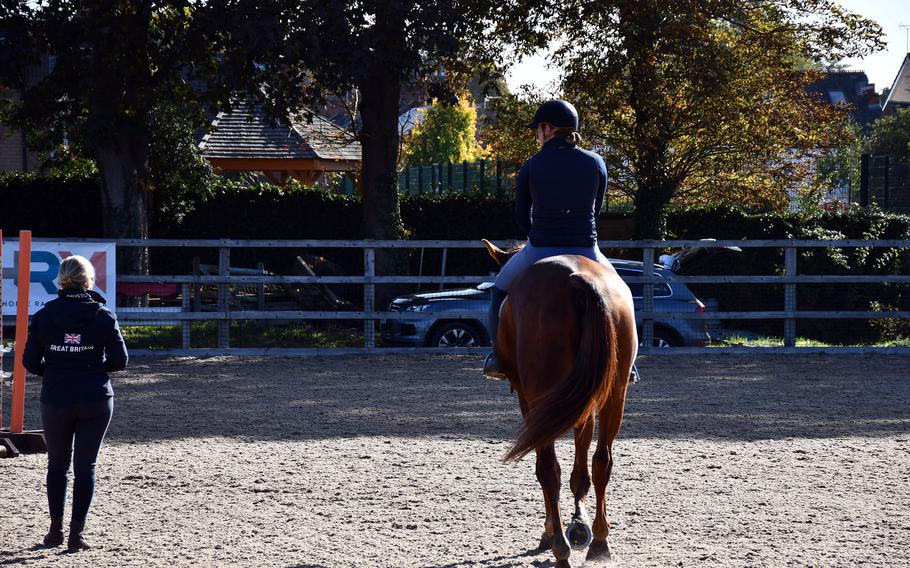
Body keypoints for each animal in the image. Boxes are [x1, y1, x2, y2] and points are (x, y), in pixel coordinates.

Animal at [480, 240, 636, 568]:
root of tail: (578, 279)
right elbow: (581, 468)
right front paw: (579, 522)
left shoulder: (530, 400)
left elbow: (551, 470)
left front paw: (555, 530)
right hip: (615, 393)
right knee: (603, 460)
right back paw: (599, 542)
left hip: (540, 398)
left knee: (548, 470)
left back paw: (559, 548)